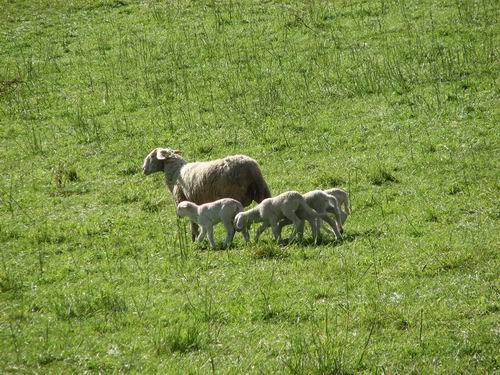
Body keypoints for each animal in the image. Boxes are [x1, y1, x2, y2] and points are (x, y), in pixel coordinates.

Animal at [143, 148, 272, 241]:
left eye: (152, 156)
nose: (143, 168)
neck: (176, 172)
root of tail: (250, 167)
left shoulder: (182, 200)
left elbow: (193, 223)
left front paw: (194, 239)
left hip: (235, 196)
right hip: (262, 190)